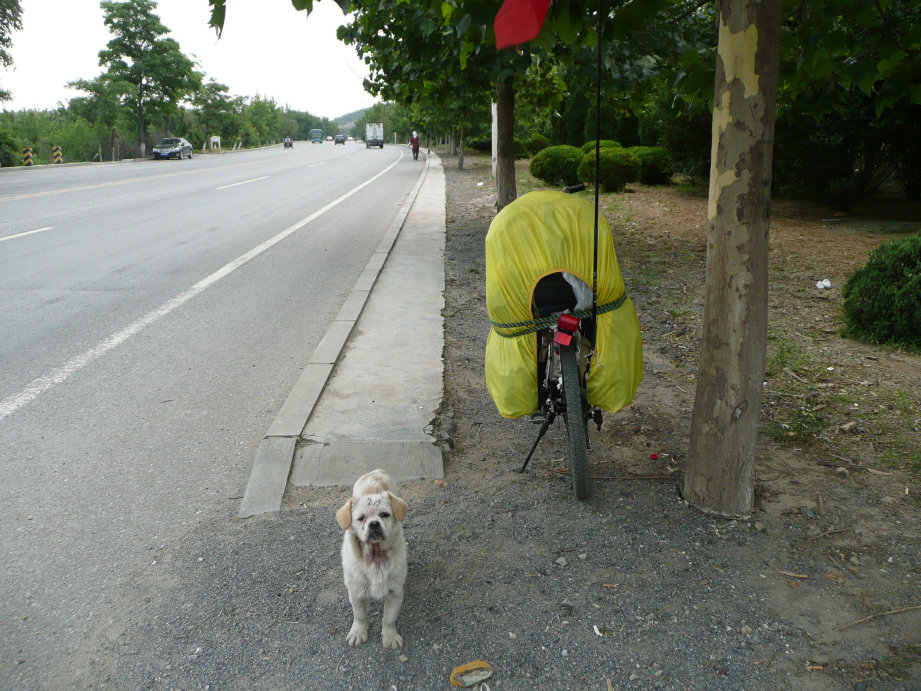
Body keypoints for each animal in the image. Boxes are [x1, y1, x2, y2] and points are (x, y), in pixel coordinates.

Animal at [336, 470, 408, 648]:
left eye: (385, 515)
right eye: (361, 518)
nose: (374, 523)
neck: (376, 559)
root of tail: (377, 471)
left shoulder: (395, 593)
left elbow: (388, 618)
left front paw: (390, 636)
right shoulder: (355, 593)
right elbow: (360, 616)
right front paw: (358, 633)